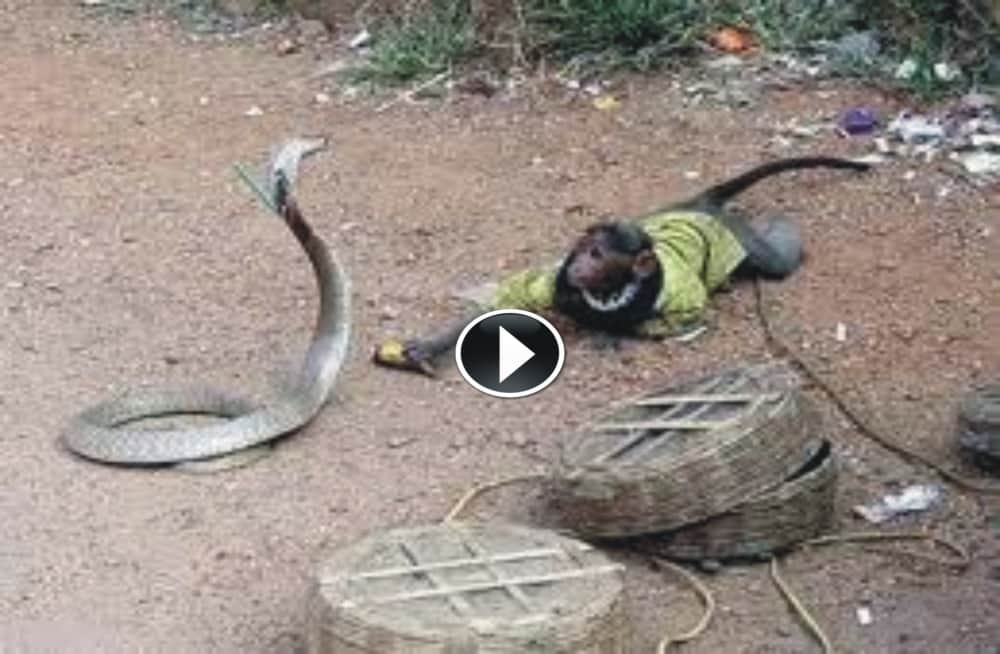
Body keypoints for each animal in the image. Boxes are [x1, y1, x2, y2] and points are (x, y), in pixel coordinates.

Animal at [373, 156, 871, 375]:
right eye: (581, 248)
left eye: (597, 254)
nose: (578, 265)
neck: (608, 289)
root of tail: (700, 204)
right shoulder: (556, 280)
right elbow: (511, 301)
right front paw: (427, 347)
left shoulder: (676, 294)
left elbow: (685, 314)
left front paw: (610, 331)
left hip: (737, 238)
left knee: (774, 262)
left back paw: (781, 228)